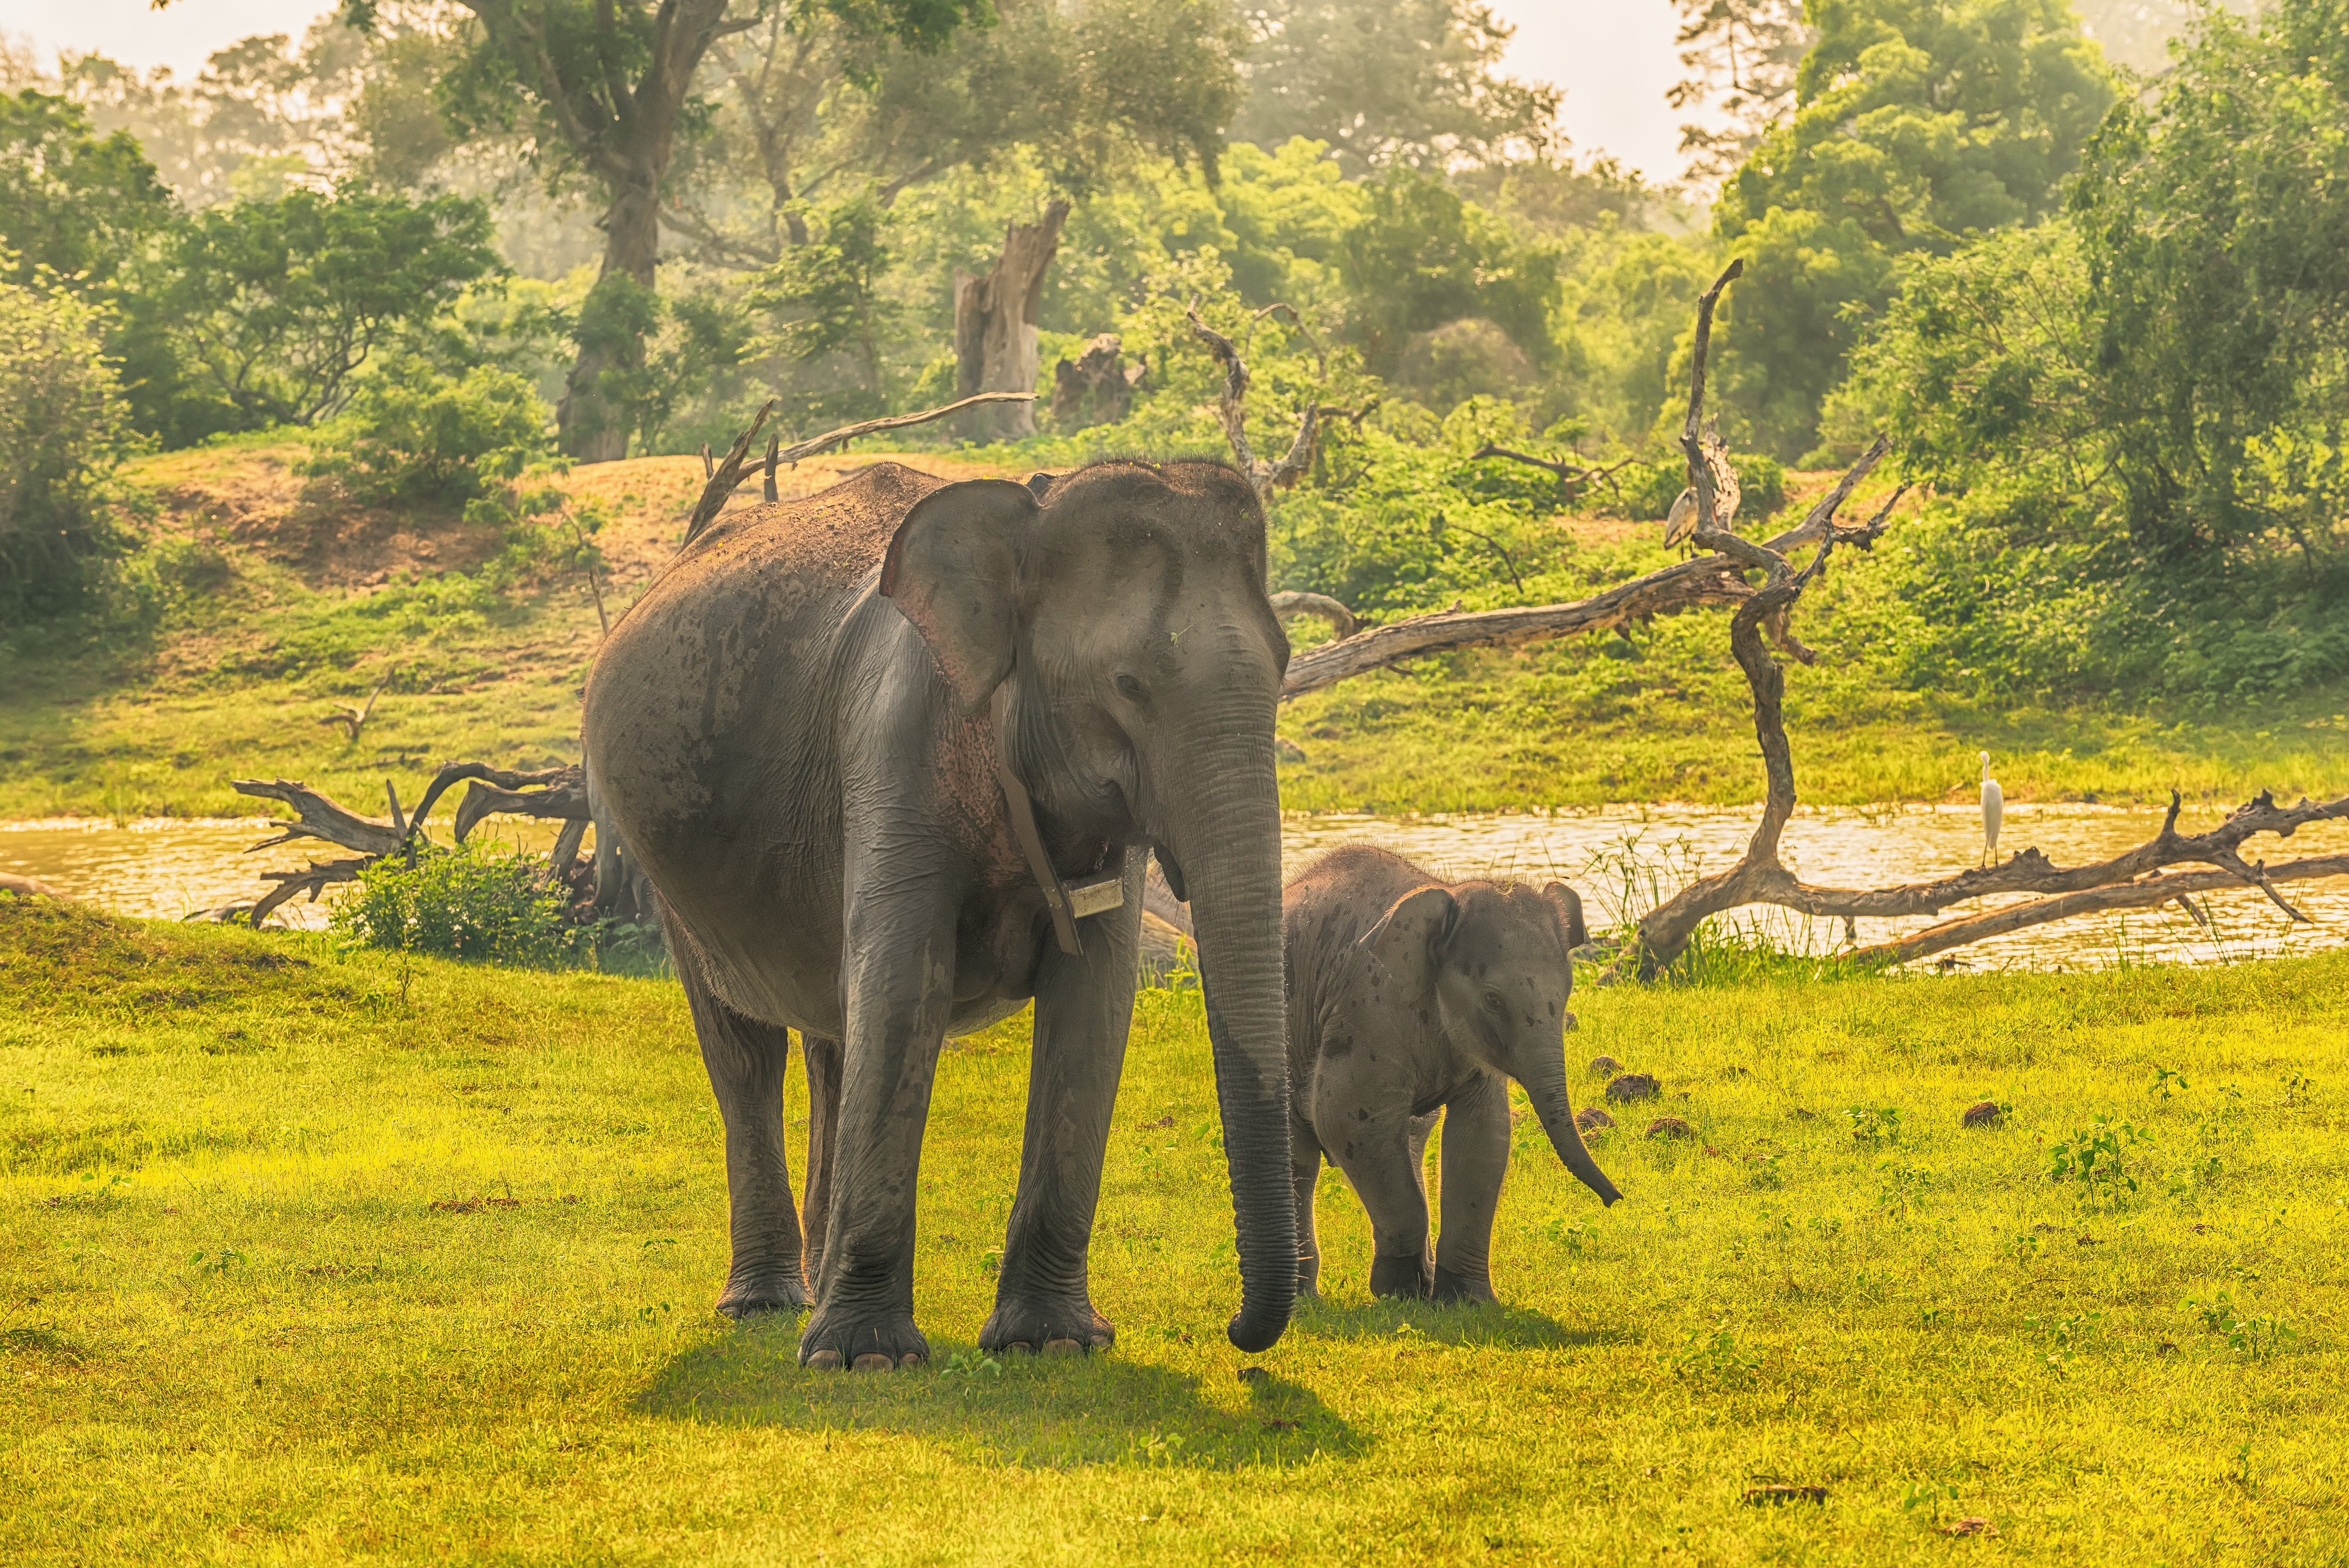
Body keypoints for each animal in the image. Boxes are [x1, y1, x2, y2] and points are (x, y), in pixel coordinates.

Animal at [582, 460, 1297, 1370]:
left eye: (1285, 664)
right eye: (1128, 684)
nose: (1237, 1332)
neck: (1029, 517)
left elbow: (1095, 1006)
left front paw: (1054, 1343)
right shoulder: (893, 745)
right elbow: (901, 989)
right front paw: (865, 1359)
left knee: (833, 1037)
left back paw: (814, 1280)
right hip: (668, 873)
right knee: (745, 1048)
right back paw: (768, 1303)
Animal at [1283, 846, 1621, 1304]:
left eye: (1566, 992)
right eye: (1493, 1000)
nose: (1616, 1200)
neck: (1447, 893)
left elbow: (1482, 1136)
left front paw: (1467, 1300)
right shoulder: (1366, 1007)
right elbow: (1347, 1118)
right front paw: (1399, 1293)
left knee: (1410, 1139)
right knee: (1300, 1156)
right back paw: (1304, 1299)